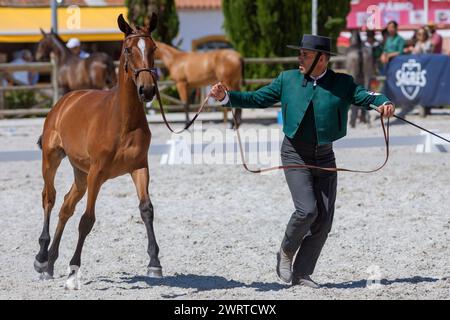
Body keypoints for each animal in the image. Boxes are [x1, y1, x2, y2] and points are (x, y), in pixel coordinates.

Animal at [34, 13, 162, 290]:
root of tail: (64, 101)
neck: (123, 120)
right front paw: (73, 270)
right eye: (128, 50)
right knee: (49, 198)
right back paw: (41, 258)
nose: (147, 90)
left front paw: (154, 263)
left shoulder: (139, 167)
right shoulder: (97, 173)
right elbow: (87, 220)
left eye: (154, 48)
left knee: (65, 206)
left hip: (80, 173)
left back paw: (50, 263)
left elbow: (146, 209)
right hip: (52, 159)